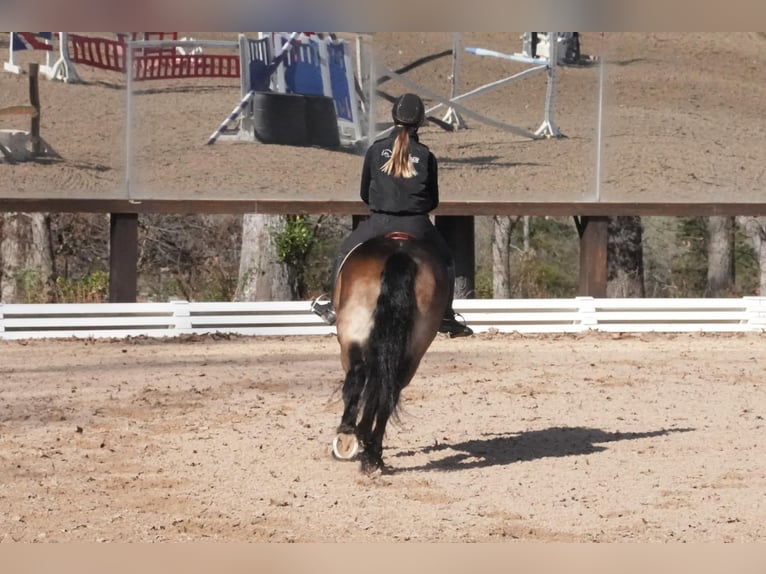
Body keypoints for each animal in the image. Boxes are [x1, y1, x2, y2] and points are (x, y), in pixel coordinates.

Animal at [330, 233, 450, 474]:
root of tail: (399, 255)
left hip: (352, 336)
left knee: (357, 378)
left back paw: (352, 438)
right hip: (414, 349)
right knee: (388, 391)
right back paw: (369, 453)